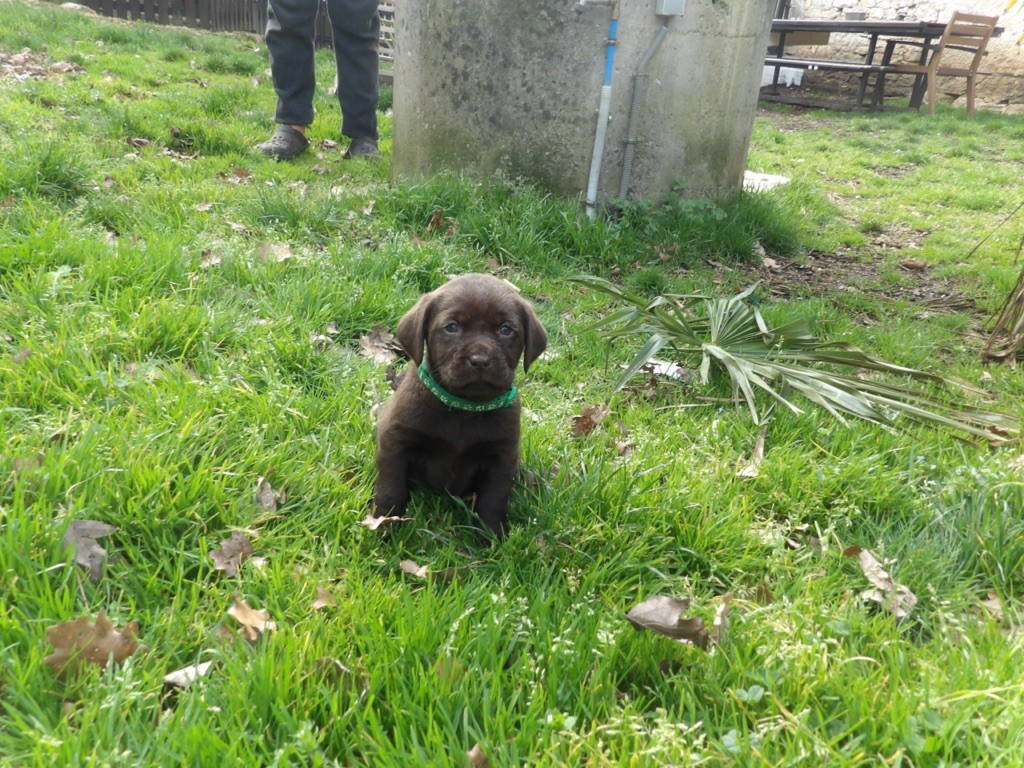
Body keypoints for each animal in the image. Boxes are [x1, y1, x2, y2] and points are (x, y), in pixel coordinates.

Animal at [373, 274, 547, 539]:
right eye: (452, 327)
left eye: (506, 330)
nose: (480, 360)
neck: (465, 408)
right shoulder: (395, 441)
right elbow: (391, 489)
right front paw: (385, 527)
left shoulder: (502, 457)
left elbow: (493, 500)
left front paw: (491, 538)